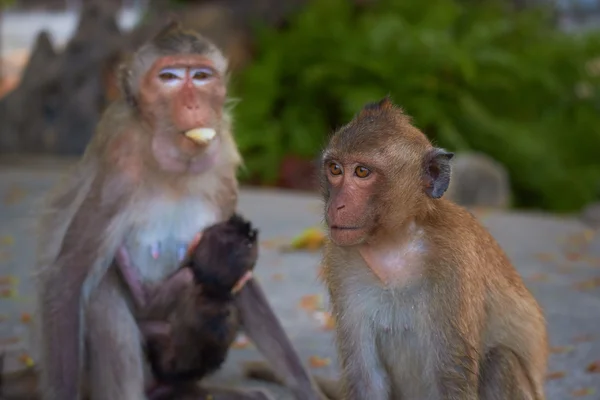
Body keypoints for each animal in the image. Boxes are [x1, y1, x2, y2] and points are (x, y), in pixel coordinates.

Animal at [33, 21, 328, 400]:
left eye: (201, 76)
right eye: (169, 77)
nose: (192, 103)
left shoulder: (222, 171)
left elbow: (243, 285)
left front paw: (305, 387)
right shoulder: (120, 168)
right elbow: (68, 277)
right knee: (102, 296)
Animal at [318, 97, 548, 400]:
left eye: (362, 172)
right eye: (335, 169)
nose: (337, 205)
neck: (395, 243)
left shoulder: (455, 260)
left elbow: (450, 376)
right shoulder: (340, 261)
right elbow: (366, 379)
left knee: (500, 360)